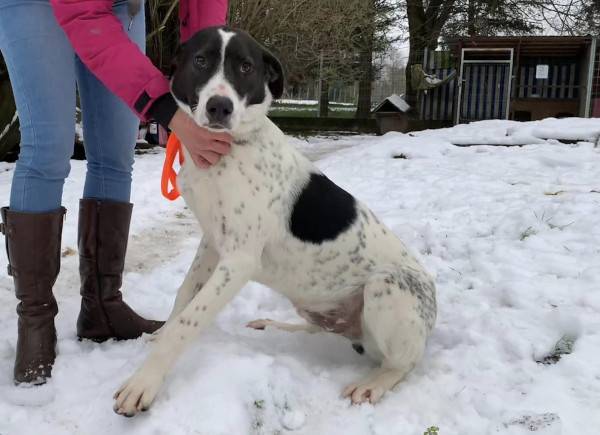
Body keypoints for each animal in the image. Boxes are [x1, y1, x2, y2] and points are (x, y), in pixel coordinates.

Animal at [113, 26, 436, 416]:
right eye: (201, 60)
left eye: (246, 67)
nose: (219, 107)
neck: (229, 149)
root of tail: (433, 311)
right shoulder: (211, 245)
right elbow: (183, 299)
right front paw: (159, 337)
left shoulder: (238, 261)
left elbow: (189, 321)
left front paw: (144, 382)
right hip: (320, 307)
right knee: (320, 330)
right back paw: (269, 326)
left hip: (385, 286)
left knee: (402, 363)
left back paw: (373, 383)